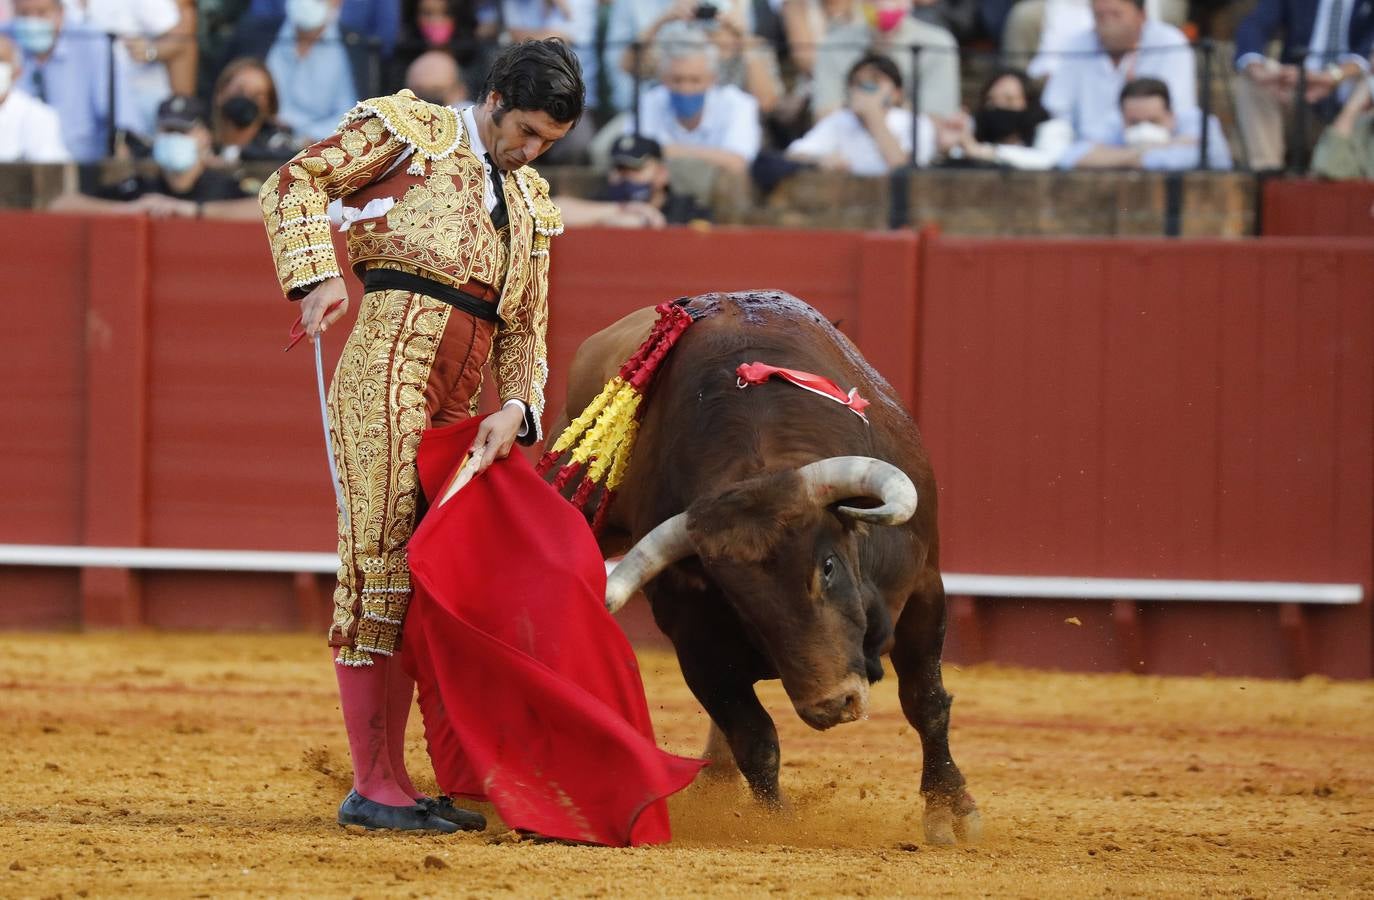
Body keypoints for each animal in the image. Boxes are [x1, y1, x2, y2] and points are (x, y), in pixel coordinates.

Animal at [552, 289, 983, 846]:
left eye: (827, 567)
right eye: (737, 599)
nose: (832, 705)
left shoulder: (925, 588)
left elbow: (925, 701)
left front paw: (949, 809)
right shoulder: (697, 646)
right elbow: (755, 737)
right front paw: (776, 823)